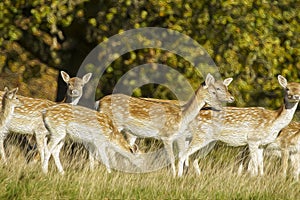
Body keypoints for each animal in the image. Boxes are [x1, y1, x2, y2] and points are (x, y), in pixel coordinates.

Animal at [97, 74, 236, 177]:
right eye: (215, 90)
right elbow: (172, 157)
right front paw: (174, 176)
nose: (232, 98)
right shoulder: (166, 136)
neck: (182, 116)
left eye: (225, 87)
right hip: (113, 124)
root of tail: (99, 102)